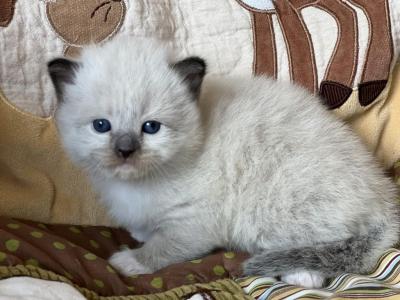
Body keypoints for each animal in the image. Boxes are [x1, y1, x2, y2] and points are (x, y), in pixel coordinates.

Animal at [48, 38, 398, 288]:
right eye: (101, 126)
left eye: (151, 127)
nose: (125, 151)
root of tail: (384, 197)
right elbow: (146, 228)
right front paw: (140, 232)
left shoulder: (194, 222)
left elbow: (164, 246)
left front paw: (131, 260)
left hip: (276, 207)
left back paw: (299, 275)